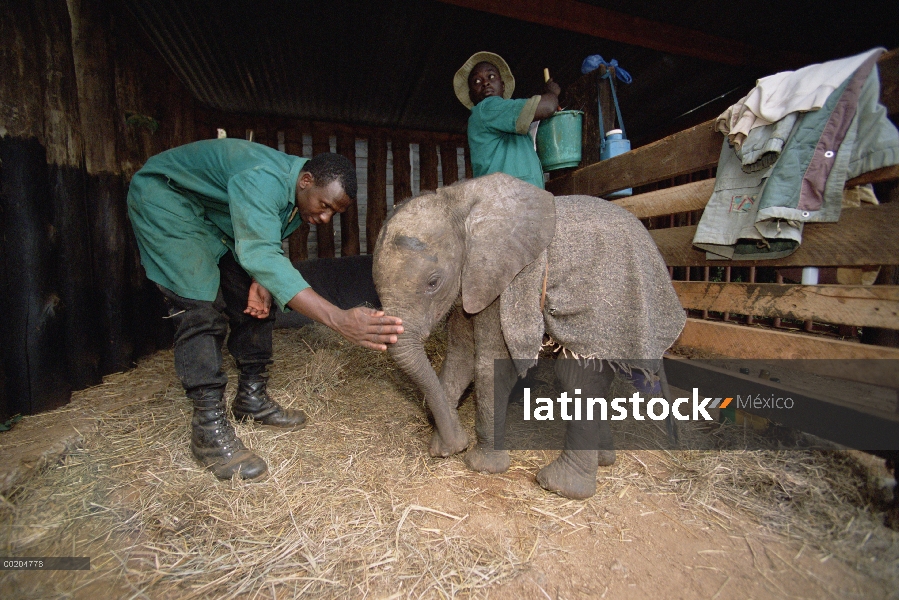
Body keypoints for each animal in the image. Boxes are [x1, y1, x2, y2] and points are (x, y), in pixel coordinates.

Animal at [372, 172, 684, 496]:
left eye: (433, 283)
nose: (456, 443)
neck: (458, 201)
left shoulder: (506, 279)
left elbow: (489, 365)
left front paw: (482, 466)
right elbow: (460, 357)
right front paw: (444, 448)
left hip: (611, 305)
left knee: (576, 375)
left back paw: (560, 486)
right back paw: (604, 459)